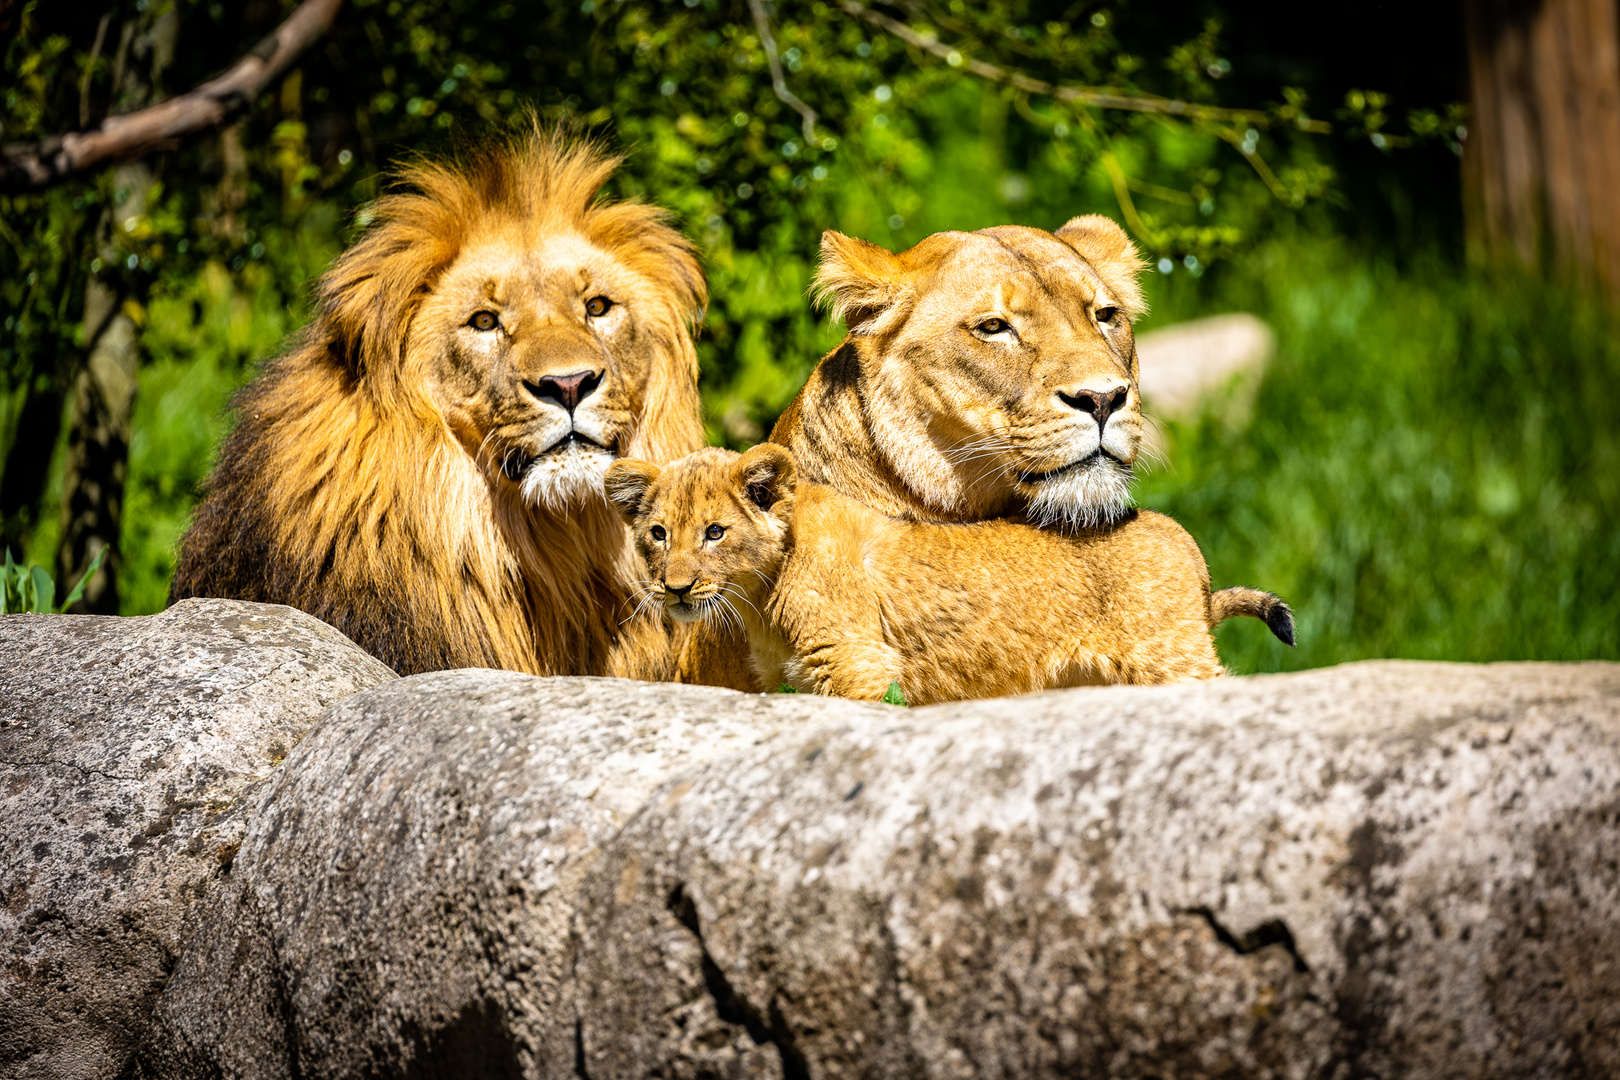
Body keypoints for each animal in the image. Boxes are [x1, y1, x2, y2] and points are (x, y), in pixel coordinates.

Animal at [602, 446, 1296, 705]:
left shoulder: (858, 663)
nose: (675, 588)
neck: (759, 598)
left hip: (1170, 658)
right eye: (658, 534)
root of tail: (1189, 545)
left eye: (715, 533)